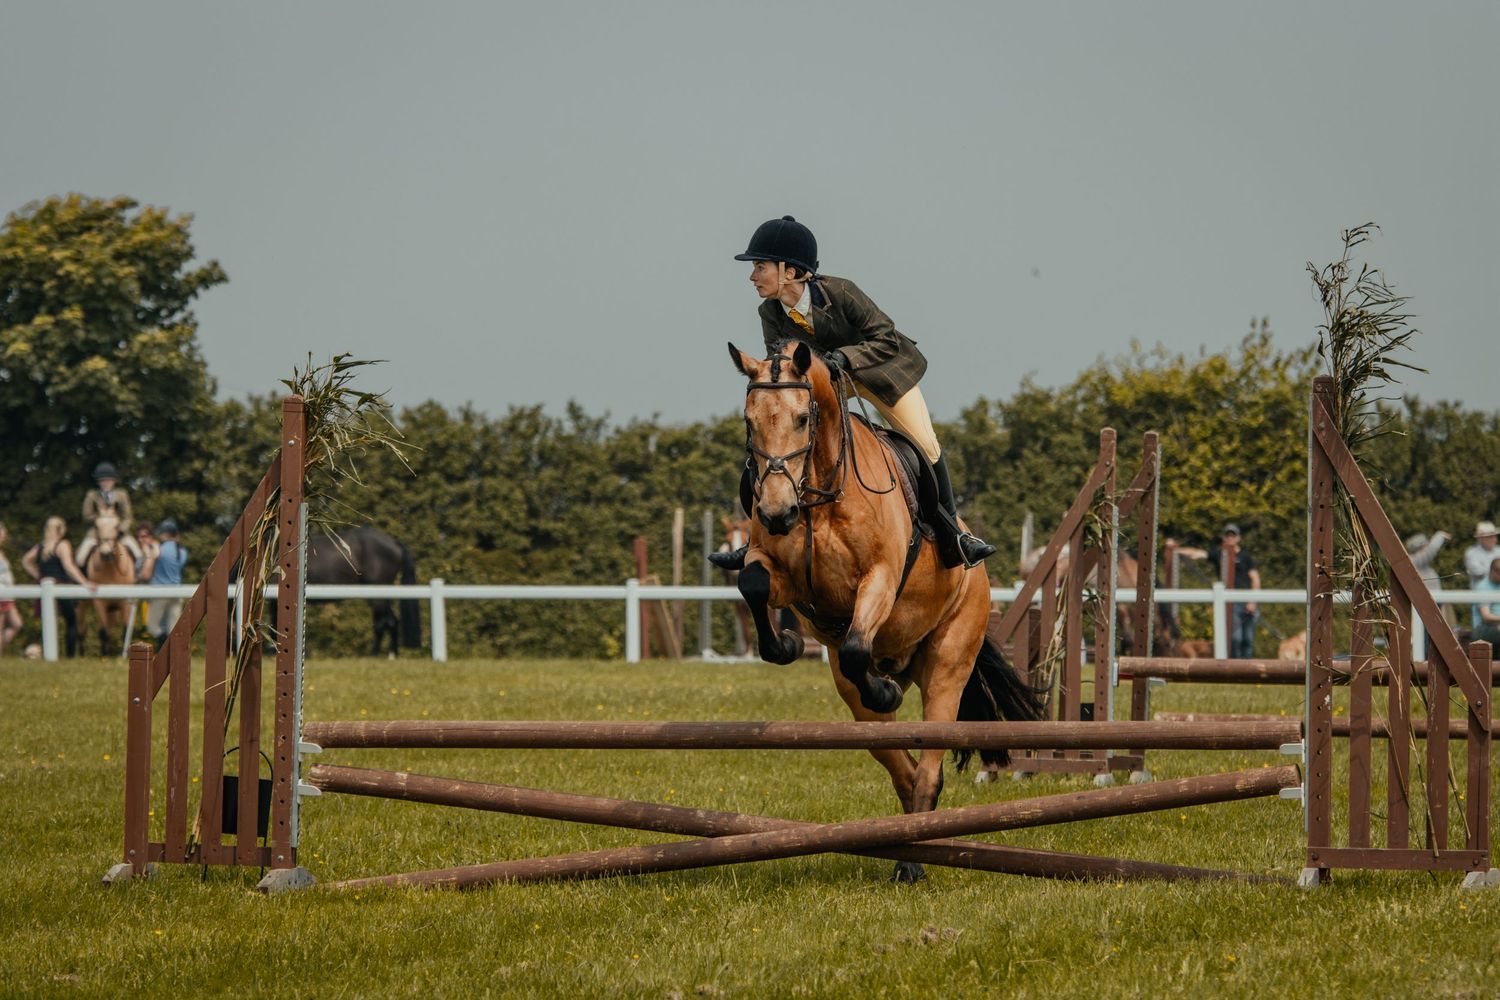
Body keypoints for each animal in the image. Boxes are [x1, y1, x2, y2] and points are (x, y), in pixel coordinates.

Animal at [83, 513, 135, 655]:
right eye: (96, 526)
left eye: (116, 526)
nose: (106, 553)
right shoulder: (100, 602)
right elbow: (104, 632)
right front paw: (104, 655)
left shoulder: (125, 602)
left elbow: (125, 631)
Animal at [305, 527, 421, 657]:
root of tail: (394, 543)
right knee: (392, 621)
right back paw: (392, 655)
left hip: (377, 596)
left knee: (382, 623)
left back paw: (374, 655)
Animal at [729, 340, 1043, 883]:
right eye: (750, 422)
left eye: (801, 418)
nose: (775, 513)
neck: (820, 491)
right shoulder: (781, 572)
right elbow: (753, 582)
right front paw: (785, 644)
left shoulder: (879, 577)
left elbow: (857, 644)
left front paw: (882, 687)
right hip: (854, 696)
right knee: (899, 762)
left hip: (949, 662)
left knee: (927, 763)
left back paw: (912, 862)